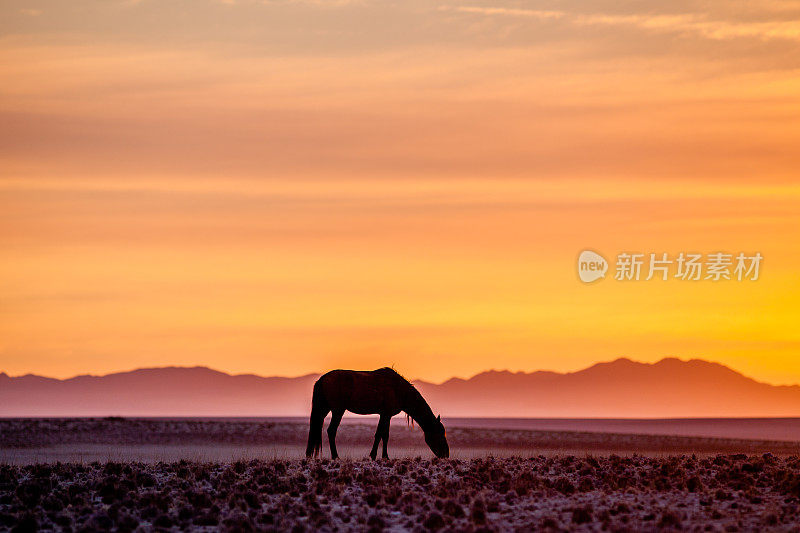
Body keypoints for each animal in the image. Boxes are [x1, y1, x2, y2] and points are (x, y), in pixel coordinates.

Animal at [304, 368, 446, 460]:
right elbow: (380, 435)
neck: (398, 389)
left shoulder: (385, 415)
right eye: (439, 433)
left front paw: (383, 456)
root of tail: (322, 379)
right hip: (338, 410)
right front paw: (376, 456)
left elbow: (384, 435)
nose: (446, 454)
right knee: (331, 431)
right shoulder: (385, 414)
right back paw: (335, 457)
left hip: (324, 409)